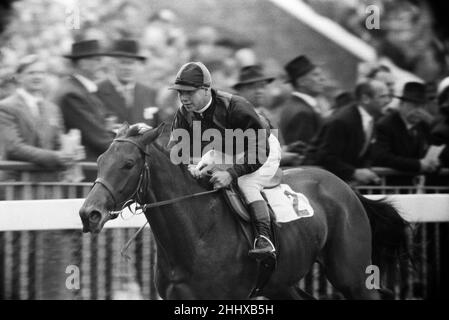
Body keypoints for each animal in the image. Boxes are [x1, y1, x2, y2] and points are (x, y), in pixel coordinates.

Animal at [78, 123, 410, 300]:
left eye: (128, 164)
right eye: (100, 160)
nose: (88, 213)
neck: (197, 235)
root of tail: (349, 189)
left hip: (351, 274)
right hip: (281, 284)